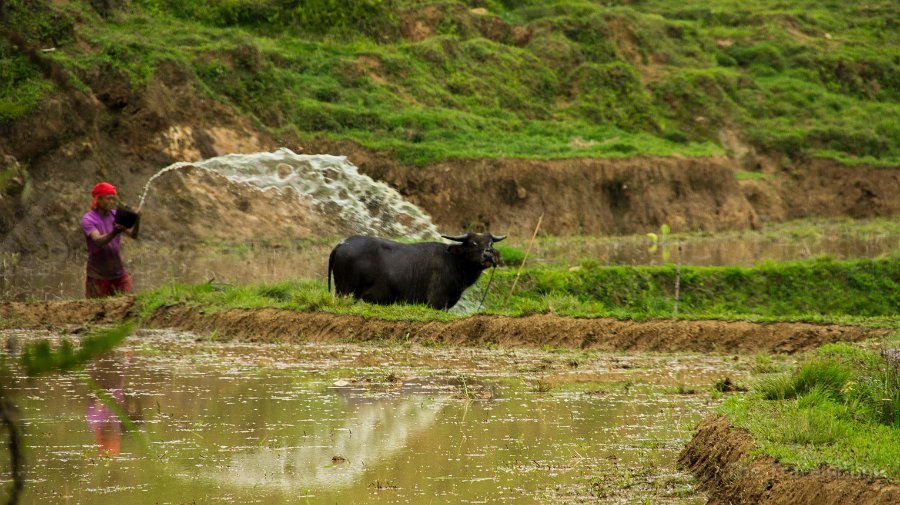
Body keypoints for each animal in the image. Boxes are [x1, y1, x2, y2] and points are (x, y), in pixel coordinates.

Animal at [326, 231, 506, 310]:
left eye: (490, 243)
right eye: (473, 243)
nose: (488, 254)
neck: (454, 262)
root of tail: (342, 244)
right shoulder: (436, 302)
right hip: (345, 292)